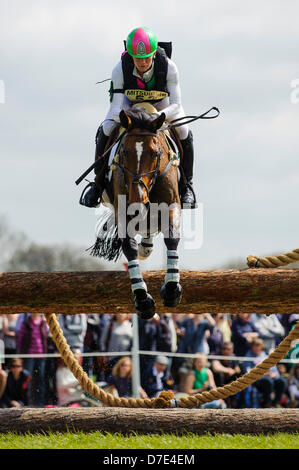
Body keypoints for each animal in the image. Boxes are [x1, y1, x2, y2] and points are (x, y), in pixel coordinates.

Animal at [90, 105, 183, 320]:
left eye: (155, 153)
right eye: (124, 152)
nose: (137, 202)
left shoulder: (172, 204)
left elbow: (172, 238)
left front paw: (172, 289)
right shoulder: (123, 210)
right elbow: (129, 246)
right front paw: (142, 299)